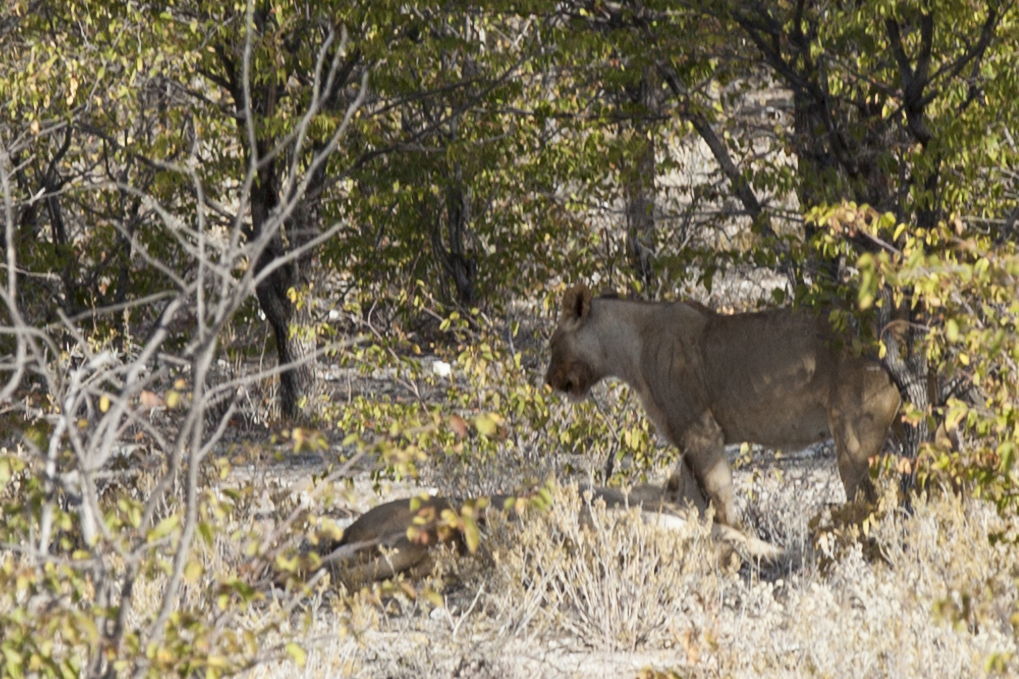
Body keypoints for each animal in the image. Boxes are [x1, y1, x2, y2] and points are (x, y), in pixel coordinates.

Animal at [546, 283, 896, 526]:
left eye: (551, 344)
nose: (548, 381)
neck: (631, 348)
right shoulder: (684, 442)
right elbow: (691, 500)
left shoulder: (702, 432)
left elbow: (720, 501)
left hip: (854, 439)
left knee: (868, 502)